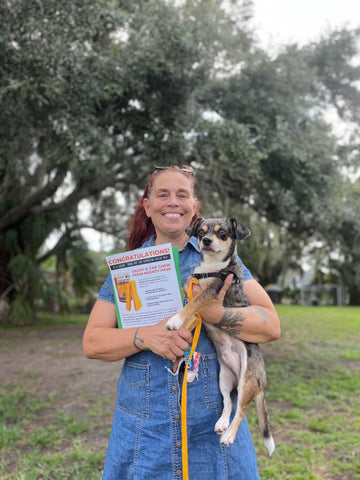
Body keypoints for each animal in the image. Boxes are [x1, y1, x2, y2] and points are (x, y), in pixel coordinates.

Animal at [167, 219, 276, 456]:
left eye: (223, 234)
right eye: (201, 232)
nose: (207, 241)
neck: (211, 268)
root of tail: (261, 382)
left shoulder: (211, 293)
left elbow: (191, 305)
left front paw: (175, 320)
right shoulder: (192, 289)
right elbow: (188, 305)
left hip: (246, 383)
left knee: (241, 409)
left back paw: (229, 435)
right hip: (224, 380)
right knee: (229, 403)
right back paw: (222, 423)